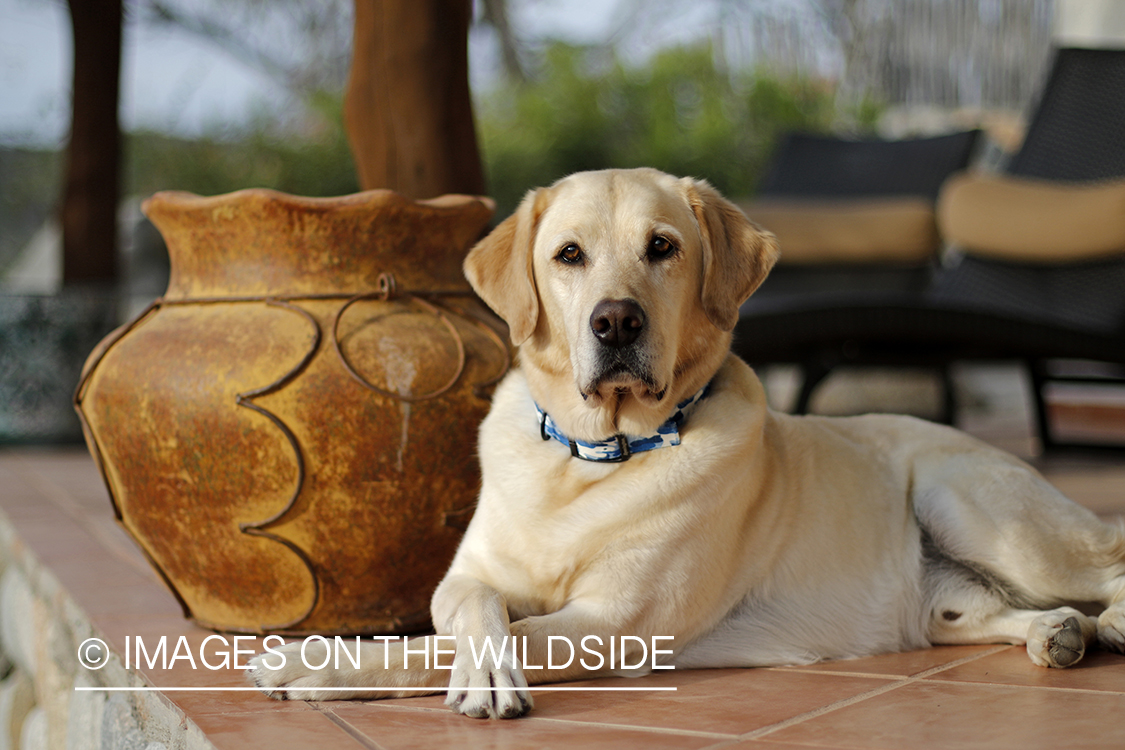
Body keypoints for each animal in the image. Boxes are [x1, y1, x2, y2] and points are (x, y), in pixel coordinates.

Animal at [250, 167, 1125, 719]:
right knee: (1015, 611)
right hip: (948, 599)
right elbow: (469, 612)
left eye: (662, 247)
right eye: (568, 254)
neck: (588, 460)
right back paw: (1057, 635)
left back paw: (1106, 623)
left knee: (1109, 567)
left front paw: (311, 664)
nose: (615, 322)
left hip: (974, 506)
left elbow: (434, 649)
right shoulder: (466, 577)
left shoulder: (613, 623)